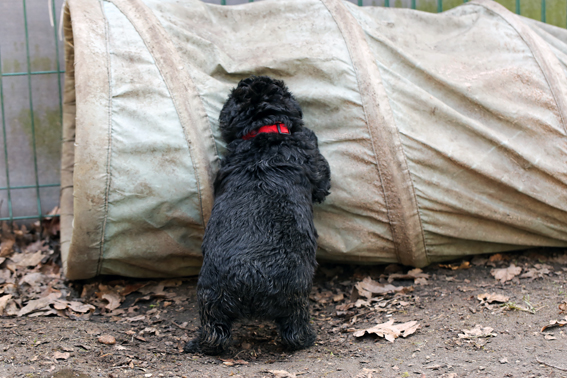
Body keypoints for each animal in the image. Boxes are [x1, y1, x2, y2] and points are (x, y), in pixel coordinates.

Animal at [184, 74, 330, 354]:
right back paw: (308, 339)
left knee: (215, 332)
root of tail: (248, 277)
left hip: (210, 298)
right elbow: (322, 178)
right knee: (294, 330)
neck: (263, 132)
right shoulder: (314, 159)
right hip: (294, 297)